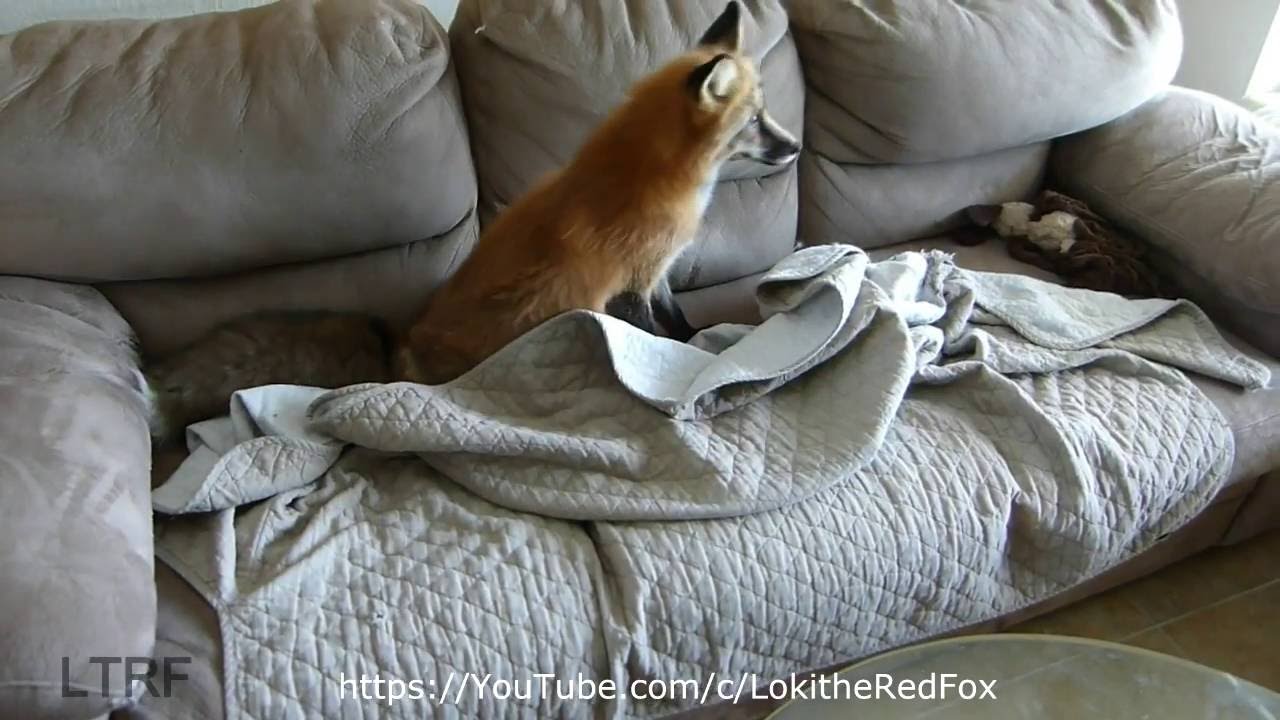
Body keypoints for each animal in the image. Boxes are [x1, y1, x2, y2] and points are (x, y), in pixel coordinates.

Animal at [145, 0, 799, 443]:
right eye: (756, 120)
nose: (795, 147)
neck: (652, 176)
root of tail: (402, 357)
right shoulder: (630, 286)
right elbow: (664, 338)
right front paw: (695, 359)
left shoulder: (656, 276)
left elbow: (680, 321)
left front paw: (705, 339)